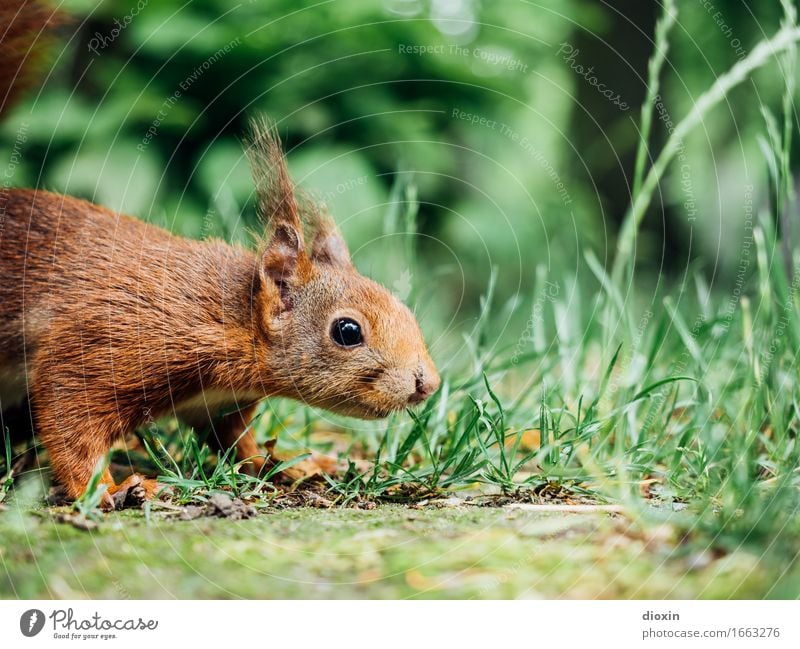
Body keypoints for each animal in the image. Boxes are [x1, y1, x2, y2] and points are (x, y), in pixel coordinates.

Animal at [0, 0, 440, 508]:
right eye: (347, 331)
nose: (427, 384)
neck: (236, 320)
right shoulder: (110, 341)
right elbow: (72, 416)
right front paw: (109, 488)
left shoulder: (219, 403)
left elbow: (236, 443)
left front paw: (292, 465)